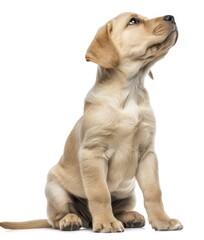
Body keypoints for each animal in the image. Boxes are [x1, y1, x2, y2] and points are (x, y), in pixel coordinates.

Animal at [0, 11, 182, 232]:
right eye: (133, 21)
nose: (171, 17)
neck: (130, 93)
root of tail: (86, 218)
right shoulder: (93, 153)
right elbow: (100, 193)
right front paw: (106, 222)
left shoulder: (147, 153)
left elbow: (154, 191)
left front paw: (163, 221)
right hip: (54, 188)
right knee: (56, 217)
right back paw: (71, 220)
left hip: (127, 192)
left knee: (119, 208)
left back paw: (129, 217)